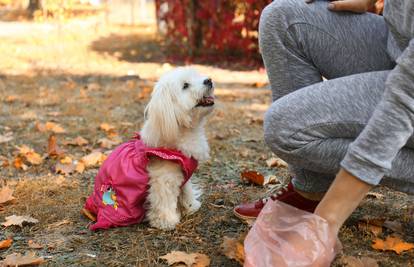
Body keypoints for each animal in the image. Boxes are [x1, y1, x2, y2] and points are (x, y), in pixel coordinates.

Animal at [141, 67, 215, 230]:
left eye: (198, 76)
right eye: (185, 86)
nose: (209, 80)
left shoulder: (183, 173)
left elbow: (185, 190)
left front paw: (190, 206)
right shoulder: (163, 178)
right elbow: (163, 200)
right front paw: (166, 221)